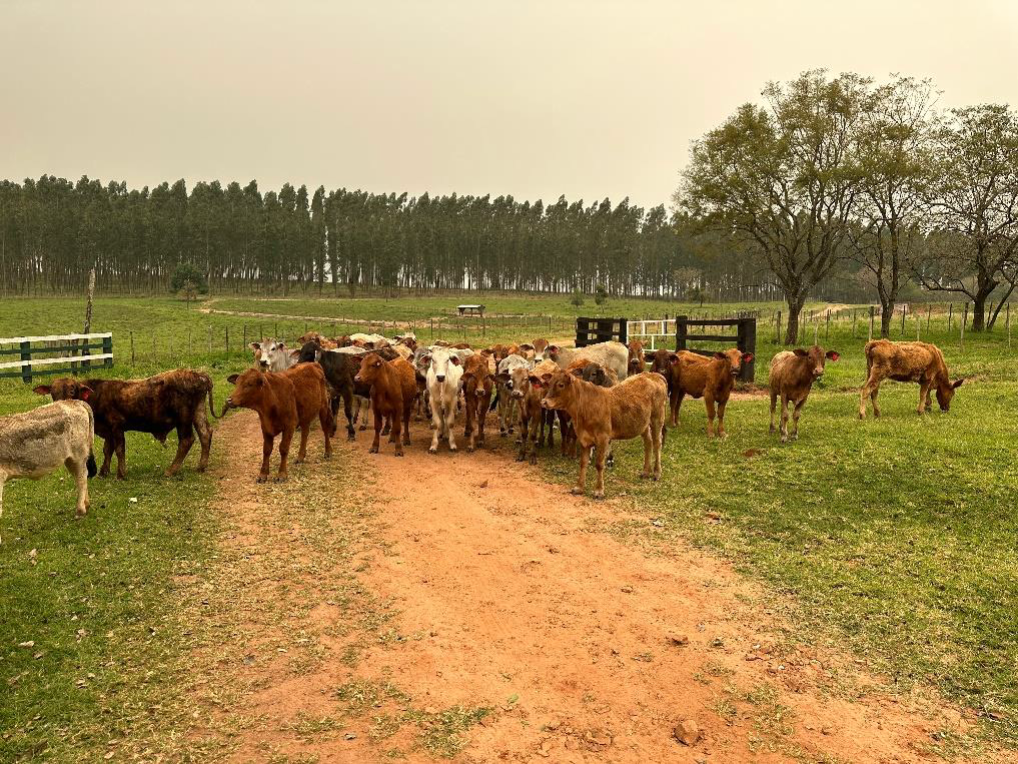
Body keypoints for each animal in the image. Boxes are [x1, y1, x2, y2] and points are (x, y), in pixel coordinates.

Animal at [0, 400, 97, 542]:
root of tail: (75, 402)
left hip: (79, 455)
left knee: (82, 479)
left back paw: (80, 510)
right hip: (70, 459)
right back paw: (86, 504)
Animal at [34, 370, 215, 479]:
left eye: (72, 391)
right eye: (53, 393)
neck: (96, 395)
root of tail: (198, 374)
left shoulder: (116, 426)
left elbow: (119, 449)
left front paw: (121, 473)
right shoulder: (107, 430)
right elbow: (108, 449)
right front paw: (104, 471)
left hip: (183, 419)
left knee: (187, 440)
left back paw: (171, 470)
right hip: (198, 413)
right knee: (205, 433)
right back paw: (201, 465)